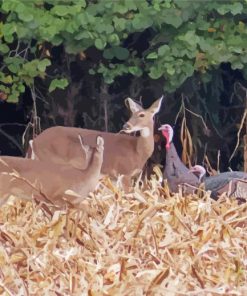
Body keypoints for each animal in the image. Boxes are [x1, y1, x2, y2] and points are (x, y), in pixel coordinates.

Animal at [27, 97, 164, 190]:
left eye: (141, 115)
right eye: (132, 114)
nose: (126, 126)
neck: (138, 151)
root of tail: (34, 141)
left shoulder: (114, 177)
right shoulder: (124, 172)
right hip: (51, 161)